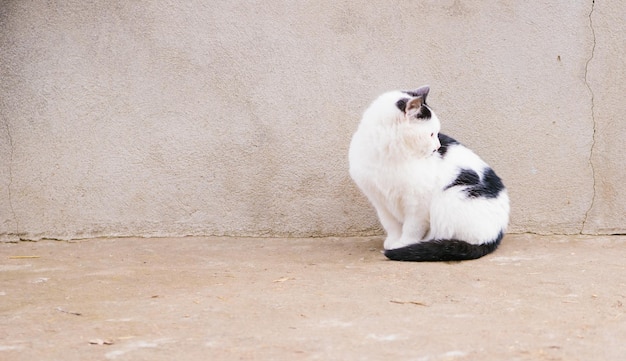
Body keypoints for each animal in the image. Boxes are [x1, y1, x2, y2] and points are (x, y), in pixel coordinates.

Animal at [346, 87, 508, 262]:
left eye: (437, 133)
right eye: (431, 134)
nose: (437, 147)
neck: (391, 154)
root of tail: (496, 236)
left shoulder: (418, 203)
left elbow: (412, 227)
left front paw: (404, 243)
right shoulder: (379, 201)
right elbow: (391, 224)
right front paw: (393, 240)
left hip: (451, 196)